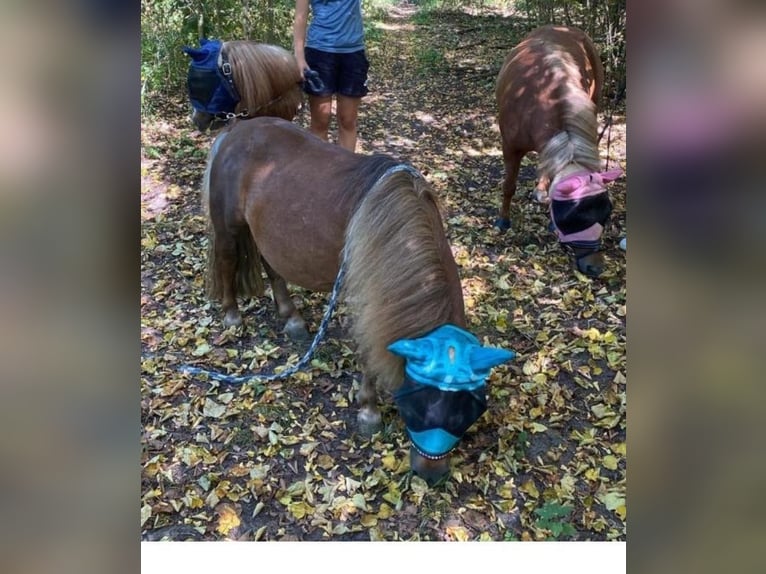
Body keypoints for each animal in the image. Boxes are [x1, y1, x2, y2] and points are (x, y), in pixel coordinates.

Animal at [204, 117, 508, 486]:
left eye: (466, 412)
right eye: (417, 406)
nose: (430, 475)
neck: (392, 228)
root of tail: (234, 129)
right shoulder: (369, 298)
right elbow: (369, 350)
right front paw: (368, 410)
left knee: (271, 268)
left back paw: (292, 318)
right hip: (229, 229)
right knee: (226, 261)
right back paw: (232, 316)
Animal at [498, 25, 624, 278]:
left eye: (606, 213)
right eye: (573, 217)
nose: (595, 267)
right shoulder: (510, 146)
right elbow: (509, 186)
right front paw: (503, 221)